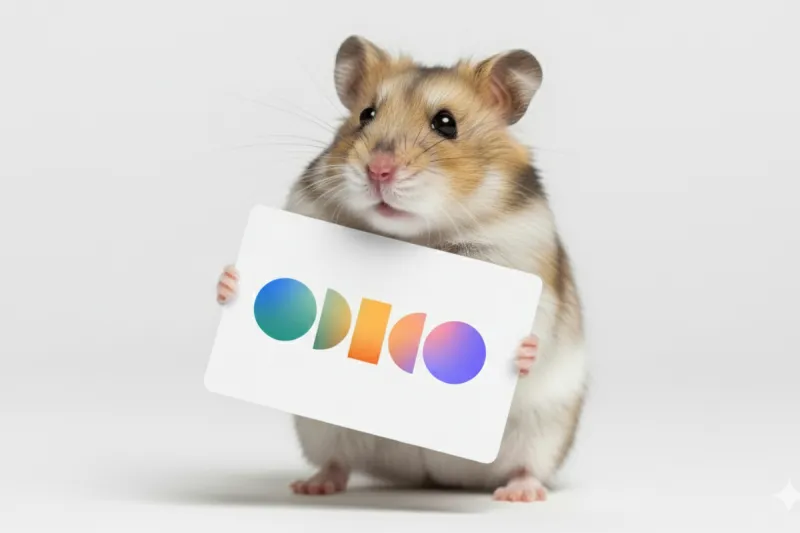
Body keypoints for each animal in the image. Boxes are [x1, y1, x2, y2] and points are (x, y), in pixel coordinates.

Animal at [215, 35, 587, 503]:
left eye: (446, 124)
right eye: (366, 115)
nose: (378, 171)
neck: (415, 237)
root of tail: (432, 477)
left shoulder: (531, 270)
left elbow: (539, 331)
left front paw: (521, 350)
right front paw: (230, 282)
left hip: (546, 430)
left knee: (527, 467)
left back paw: (520, 493)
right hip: (319, 429)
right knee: (337, 462)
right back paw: (312, 486)